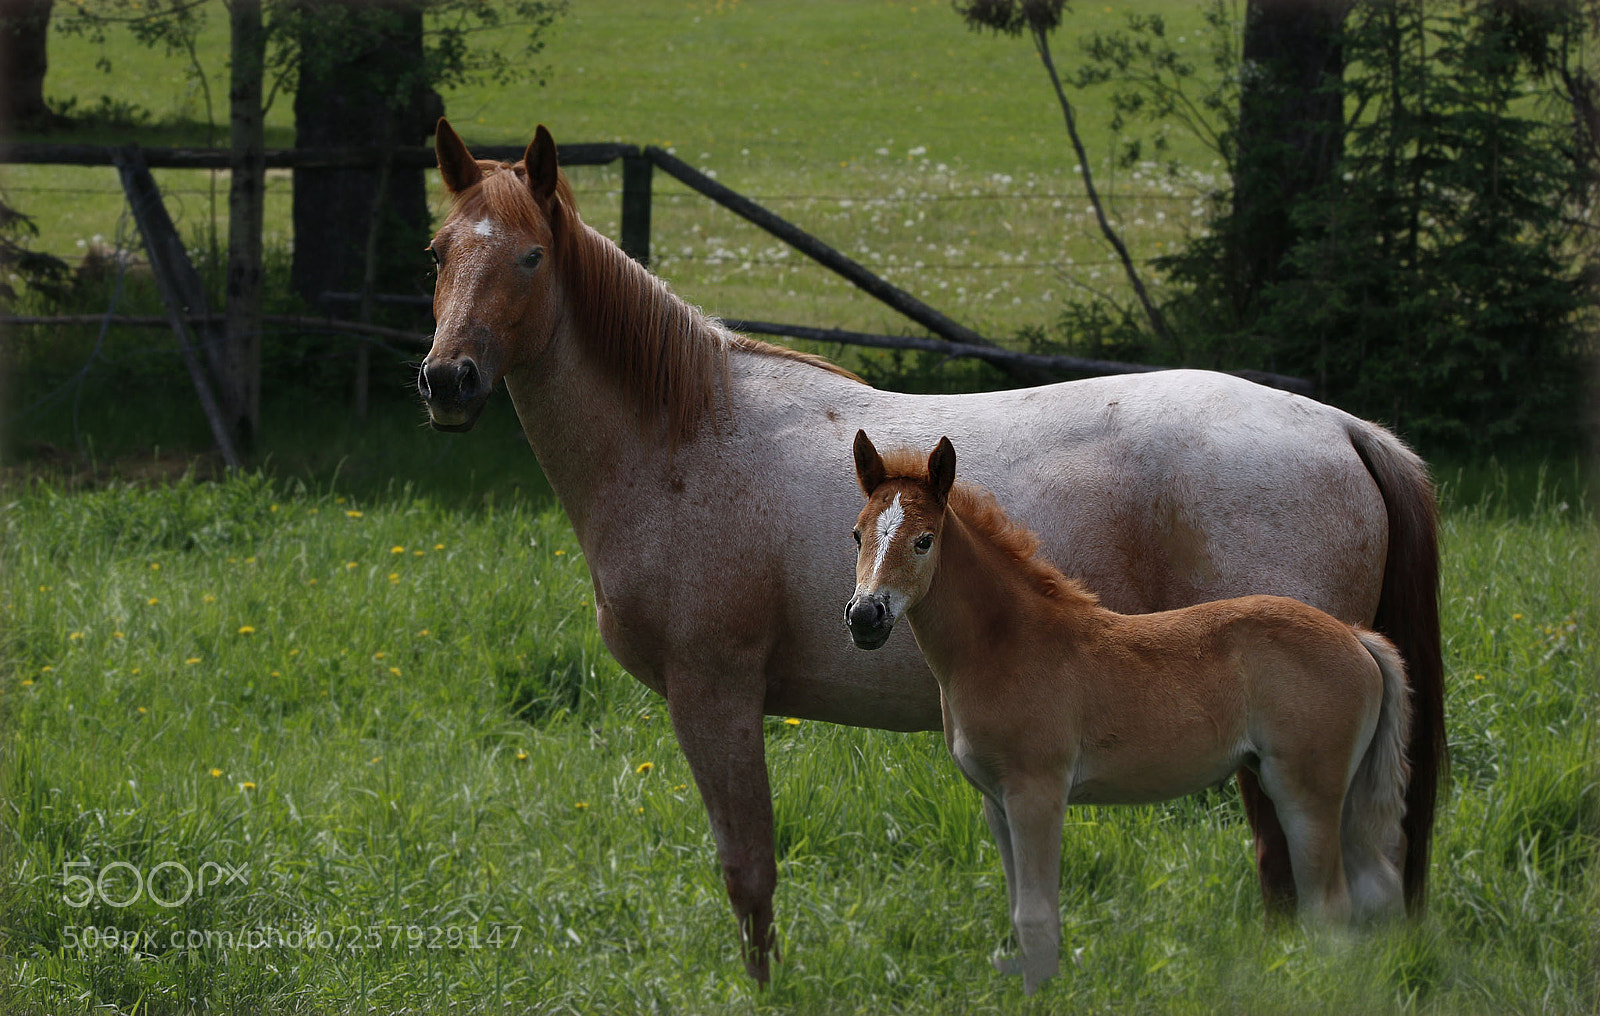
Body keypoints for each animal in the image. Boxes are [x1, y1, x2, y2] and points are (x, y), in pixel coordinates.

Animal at [845, 432, 1411, 994]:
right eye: (856, 535)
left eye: (924, 540)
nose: (865, 616)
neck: (1009, 645)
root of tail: (1355, 637)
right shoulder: (995, 802)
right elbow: (1017, 912)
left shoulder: (1036, 794)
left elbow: (1036, 915)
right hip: (1342, 793)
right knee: (1376, 885)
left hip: (1306, 792)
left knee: (1330, 907)